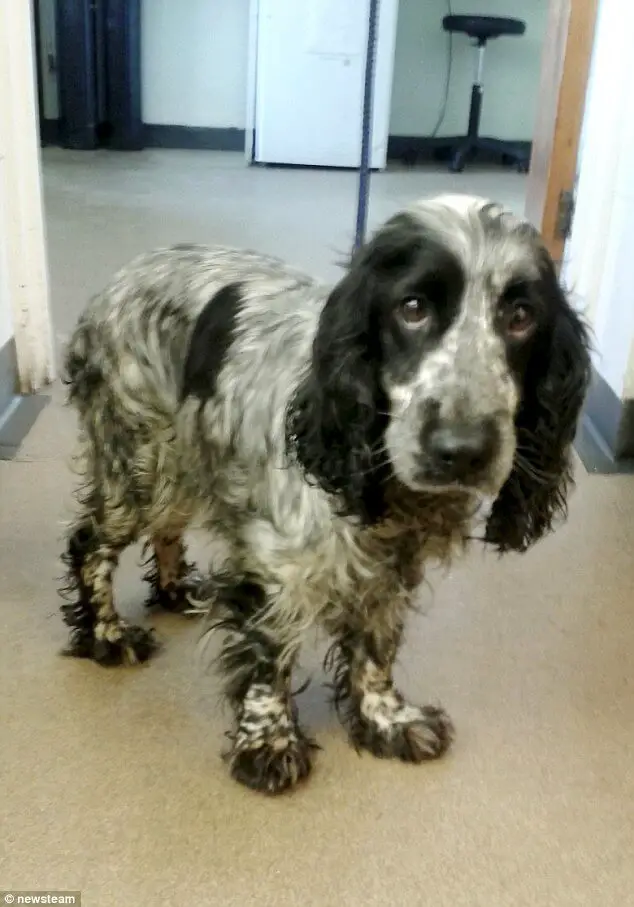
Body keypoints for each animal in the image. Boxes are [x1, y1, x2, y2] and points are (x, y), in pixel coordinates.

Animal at [59, 193, 588, 796]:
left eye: (521, 317)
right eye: (412, 308)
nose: (463, 450)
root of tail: (118, 280)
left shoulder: (390, 571)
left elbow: (376, 649)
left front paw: (386, 719)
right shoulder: (274, 568)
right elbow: (269, 656)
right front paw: (269, 744)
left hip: (181, 463)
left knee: (166, 529)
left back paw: (175, 592)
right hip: (139, 459)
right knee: (90, 544)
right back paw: (108, 635)